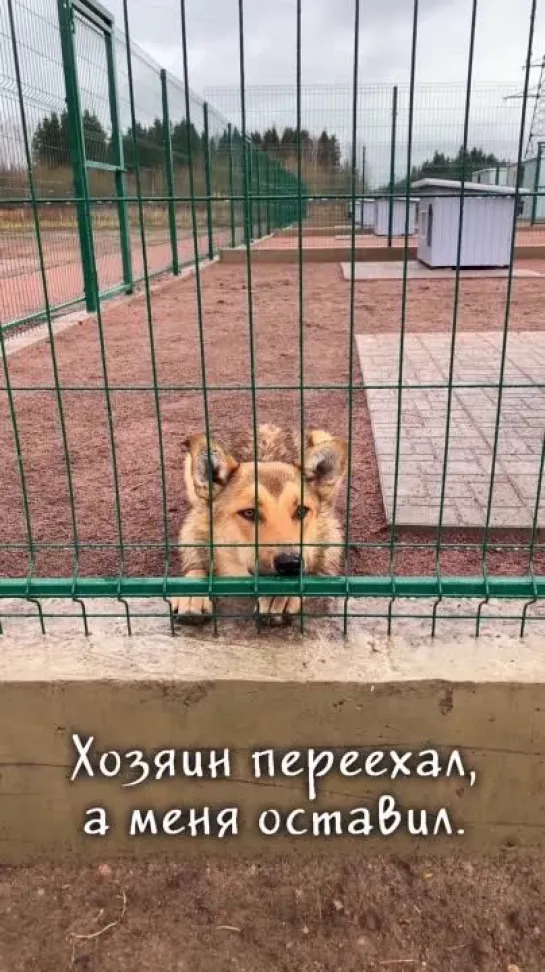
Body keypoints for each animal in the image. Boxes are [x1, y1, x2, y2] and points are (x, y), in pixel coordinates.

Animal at [172, 424, 346, 624]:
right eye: (249, 513)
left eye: (301, 510)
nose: (290, 563)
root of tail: (267, 425)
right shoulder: (195, 526)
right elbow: (197, 563)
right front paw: (193, 591)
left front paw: (280, 596)